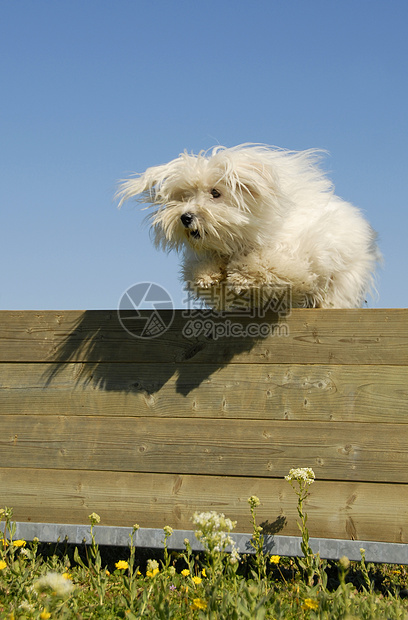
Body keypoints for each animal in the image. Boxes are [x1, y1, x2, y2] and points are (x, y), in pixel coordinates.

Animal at [116, 145, 380, 310]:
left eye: (215, 193)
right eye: (184, 196)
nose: (186, 217)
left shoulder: (293, 261)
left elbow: (264, 263)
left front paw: (241, 275)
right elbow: (205, 273)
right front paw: (208, 275)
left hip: (346, 278)